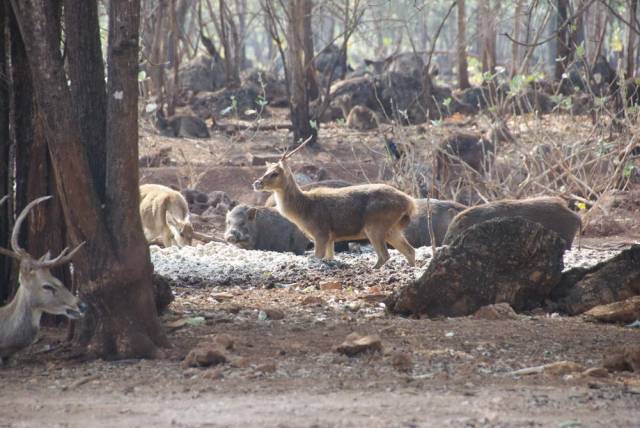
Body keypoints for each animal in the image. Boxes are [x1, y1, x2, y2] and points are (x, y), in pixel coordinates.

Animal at [252, 140, 418, 268]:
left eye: (275, 173)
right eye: (265, 171)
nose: (256, 183)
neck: (303, 210)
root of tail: (410, 202)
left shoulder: (321, 232)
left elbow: (317, 258)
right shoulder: (331, 238)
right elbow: (329, 258)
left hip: (375, 225)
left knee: (385, 255)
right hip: (392, 229)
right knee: (410, 251)